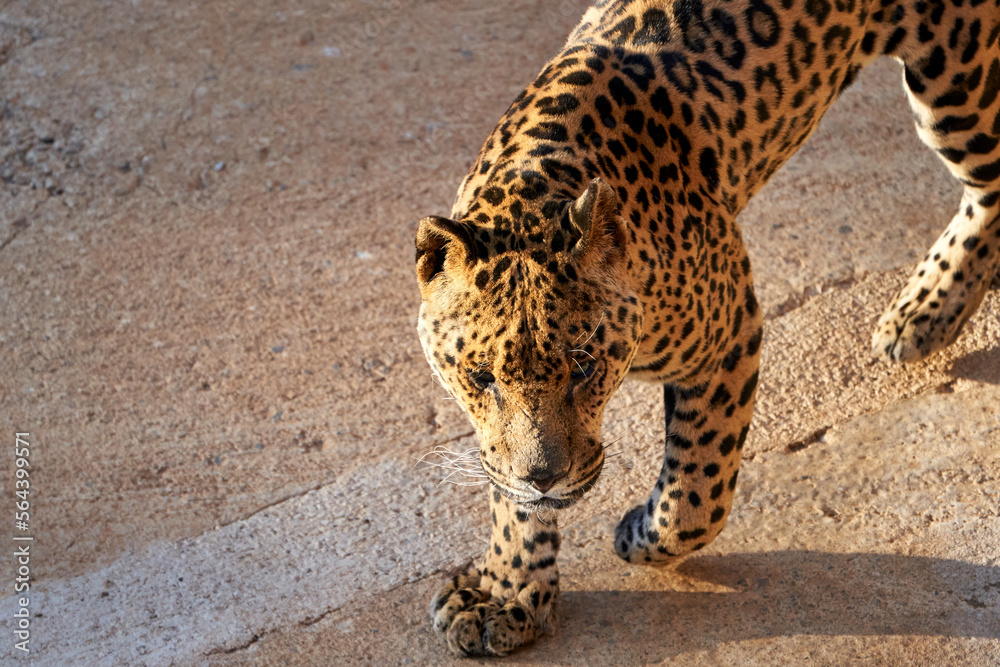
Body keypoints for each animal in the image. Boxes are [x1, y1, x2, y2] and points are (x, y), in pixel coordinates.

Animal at [414, 0, 1000, 656]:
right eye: (481, 378)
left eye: (585, 368)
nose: (545, 478)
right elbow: (506, 485)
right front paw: (507, 591)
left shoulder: (729, 334)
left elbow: (695, 491)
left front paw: (637, 535)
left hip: (957, 74)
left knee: (993, 182)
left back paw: (927, 307)